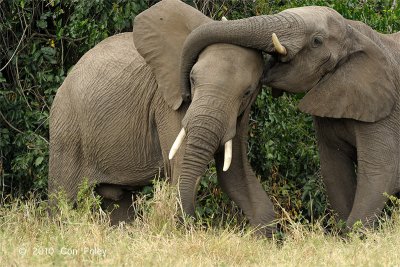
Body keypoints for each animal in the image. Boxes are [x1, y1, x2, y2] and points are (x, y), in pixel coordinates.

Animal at [47, 0, 278, 234]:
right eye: (192, 80)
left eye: (247, 92)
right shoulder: (168, 103)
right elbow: (181, 162)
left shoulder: (240, 114)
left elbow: (235, 172)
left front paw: (266, 236)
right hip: (67, 129)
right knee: (63, 200)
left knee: (119, 201)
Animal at [178, 5, 400, 230]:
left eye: (317, 41)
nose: (185, 94)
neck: (353, 32)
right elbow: (334, 172)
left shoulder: (386, 112)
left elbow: (380, 172)